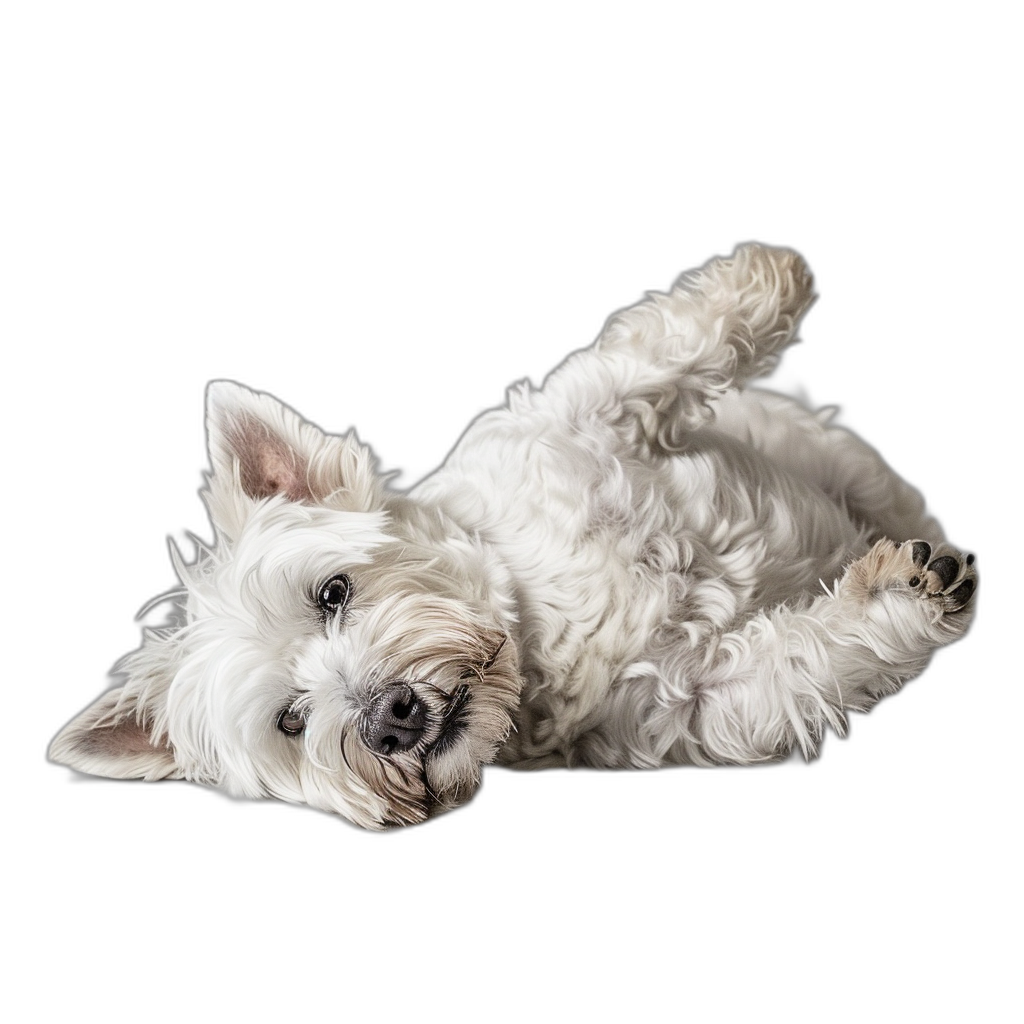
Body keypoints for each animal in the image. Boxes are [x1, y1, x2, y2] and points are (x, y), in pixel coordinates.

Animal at [46, 243, 974, 827]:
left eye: (333, 591)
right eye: (289, 719)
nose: (389, 722)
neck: (533, 623)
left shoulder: (578, 412)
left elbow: (660, 349)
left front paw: (769, 273)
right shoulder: (689, 704)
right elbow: (800, 664)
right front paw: (895, 597)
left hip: (839, 463)